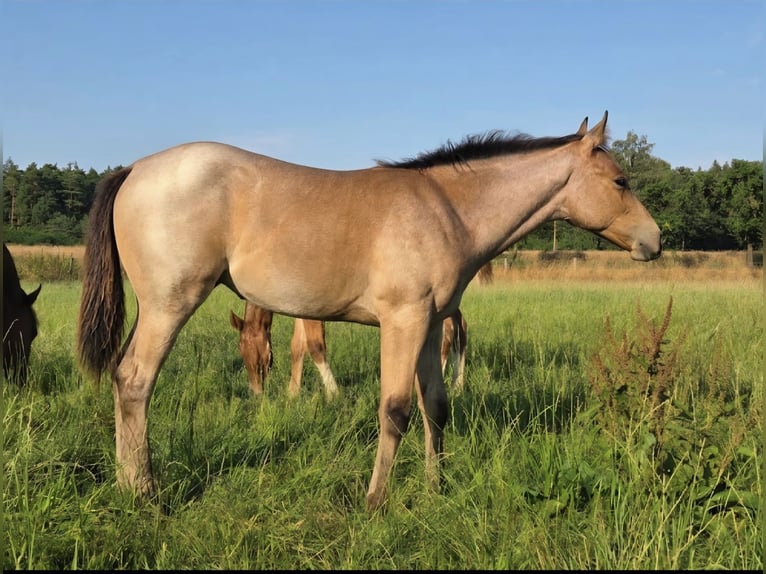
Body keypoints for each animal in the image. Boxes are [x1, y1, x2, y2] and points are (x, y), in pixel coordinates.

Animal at [230, 262, 493, 396]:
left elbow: (315, 345)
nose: (257, 395)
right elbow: (298, 347)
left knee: (455, 331)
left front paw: (334, 395)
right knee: (457, 328)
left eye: (268, 358)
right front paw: (292, 394)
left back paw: (455, 384)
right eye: (242, 357)